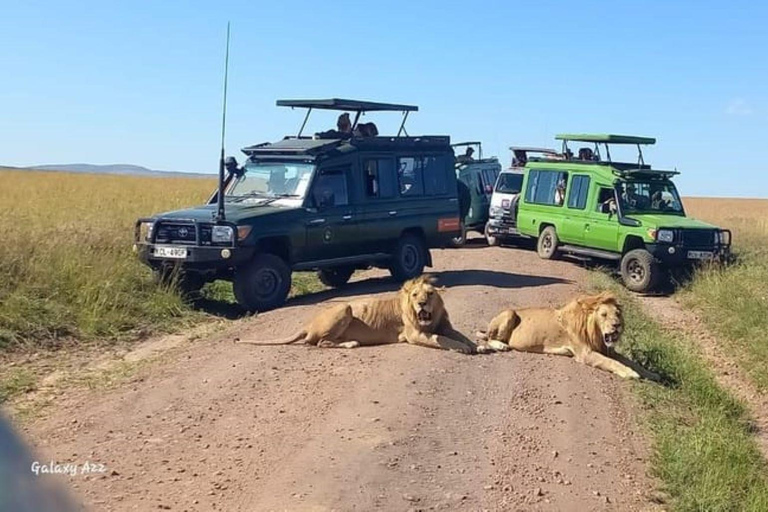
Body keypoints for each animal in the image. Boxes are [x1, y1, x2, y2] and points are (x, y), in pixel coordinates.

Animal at [240, 274, 476, 354]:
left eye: (430, 294)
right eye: (415, 294)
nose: (422, 304)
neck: (431, 318)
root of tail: (308, 324)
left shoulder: (444, 326)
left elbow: (460, 335)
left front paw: (478, 346)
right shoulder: (413, 334)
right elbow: (440, 339)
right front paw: (463, 349)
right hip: (344, 308)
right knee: (320, 343)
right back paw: (350, 344)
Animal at [476, 292, 652, 380]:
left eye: (618, 314)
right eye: (603, 315)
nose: (617, 325)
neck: (595, 332)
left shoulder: (609, 350)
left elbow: (631, 362)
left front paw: (652, 374)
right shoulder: (585, 353)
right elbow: (611, 362)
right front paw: (630, 373)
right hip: (509, 312)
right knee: (489, 338)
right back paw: (501, 345)